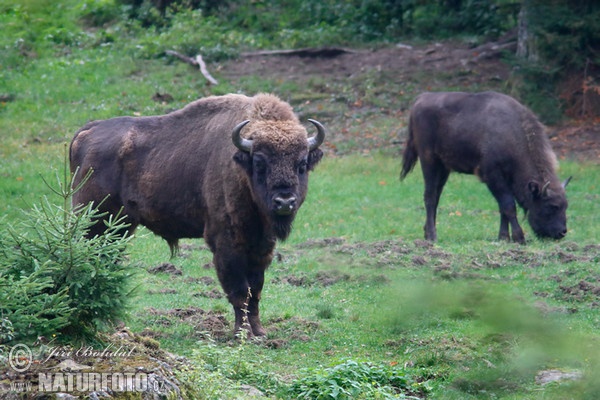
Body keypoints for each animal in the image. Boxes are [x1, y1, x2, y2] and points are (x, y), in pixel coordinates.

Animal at [69, 92, 328, 336]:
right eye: (260, 163)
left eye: (302, 164)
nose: (284, 202)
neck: (240, 166)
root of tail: (86, 133)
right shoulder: (226, 242)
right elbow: (239, 291)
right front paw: (242, 334)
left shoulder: (262, 246)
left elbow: (255, 290)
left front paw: (259, 332)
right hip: (95, 220)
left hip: (120, 225)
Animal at [400, 91, 568, 244]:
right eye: (552, 206)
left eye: (566, 206)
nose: (562, 232)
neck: (512, 133)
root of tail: (420, 99)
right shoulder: (493, 176)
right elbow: (508, 206)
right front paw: (519, 237)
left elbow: (503, 208)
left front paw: (503, 237)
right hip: (429, 161)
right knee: (429, 196)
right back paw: (432, 236)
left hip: (443, 168)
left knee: (436, 196)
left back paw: (428, 233)